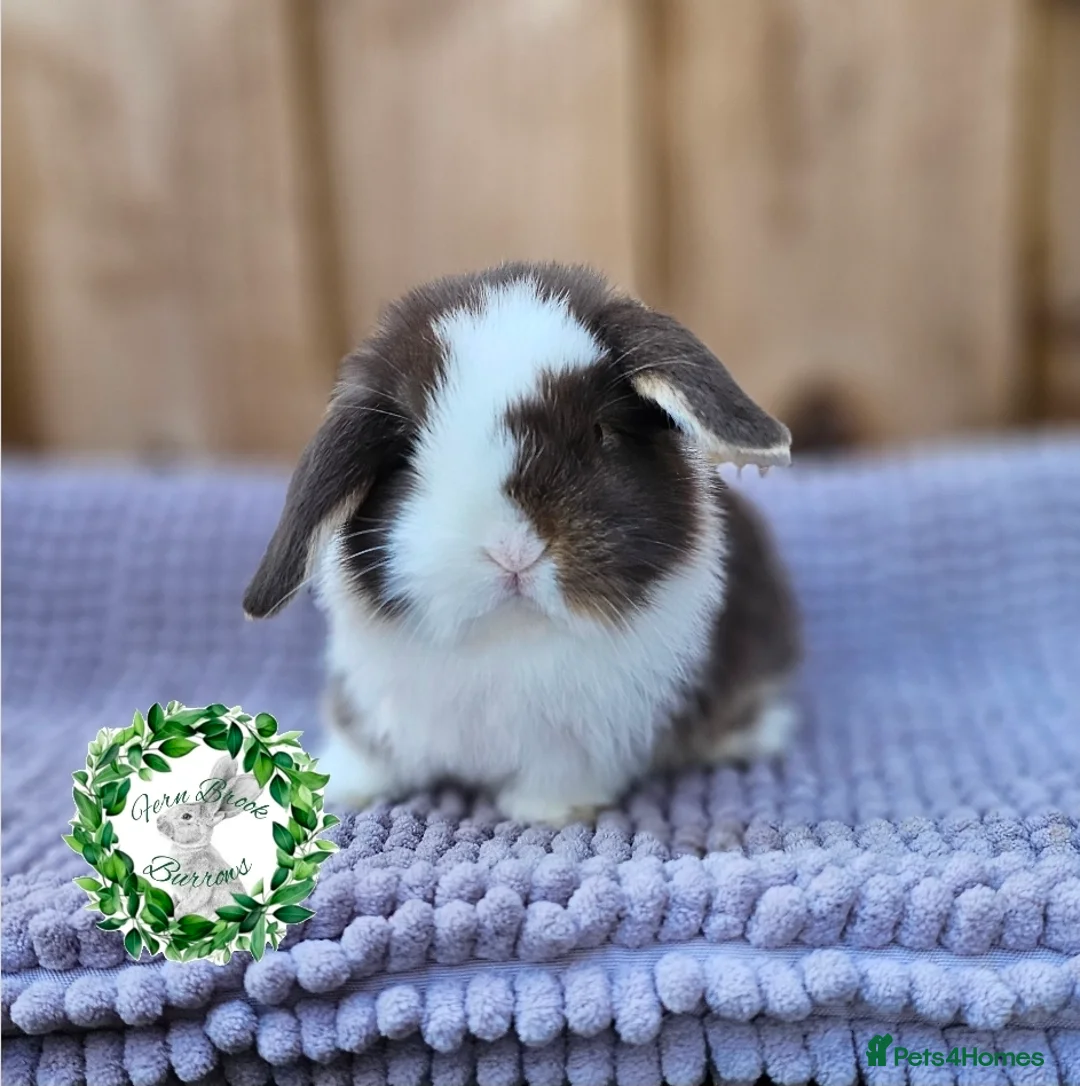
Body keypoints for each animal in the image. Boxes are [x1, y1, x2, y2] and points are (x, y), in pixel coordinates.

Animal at [154, 755, 263, 918]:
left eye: (186, 816)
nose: (158, 822)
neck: (192, 849)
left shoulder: (202, 882)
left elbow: (192, 901)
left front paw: (178, 916)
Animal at [243, 262, 801, 827]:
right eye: (408, 456)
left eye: (601, 432)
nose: (512, 552)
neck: (508, 637)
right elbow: (366, 749)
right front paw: (342, 786)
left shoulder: (583, 739)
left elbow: (558, 775)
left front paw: (549, 812)